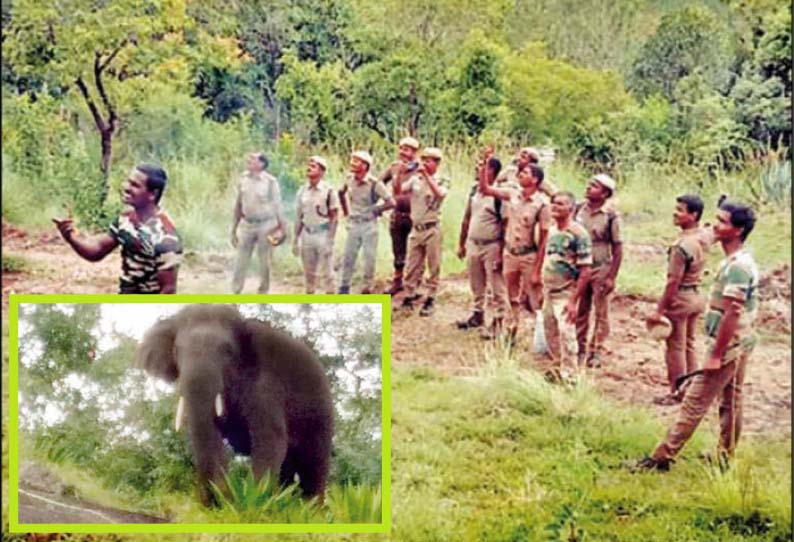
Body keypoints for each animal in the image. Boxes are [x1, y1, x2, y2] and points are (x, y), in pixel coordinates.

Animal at [135, 308, 332, 508]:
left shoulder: (266, 384)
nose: (219, 500)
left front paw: (254, 503)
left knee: (313, 464)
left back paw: (310, 509)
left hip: (321, 413)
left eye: (228, 351)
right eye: (176, 351)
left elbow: (270, 438)